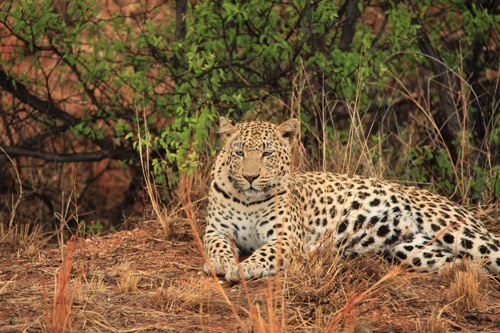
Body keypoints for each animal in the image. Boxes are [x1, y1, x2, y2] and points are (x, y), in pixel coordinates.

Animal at [203, 115, 500, 282]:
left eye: (267, 154)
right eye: (239, 152)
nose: (250, 177)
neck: (248, 201)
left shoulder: (286, 237)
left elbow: (265, 252)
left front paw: (244, 268)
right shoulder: (215, 230)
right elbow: (217, 247)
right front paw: (221, 263)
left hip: (458, 231)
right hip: (413, 249)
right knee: (465, 264)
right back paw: (467, 273)